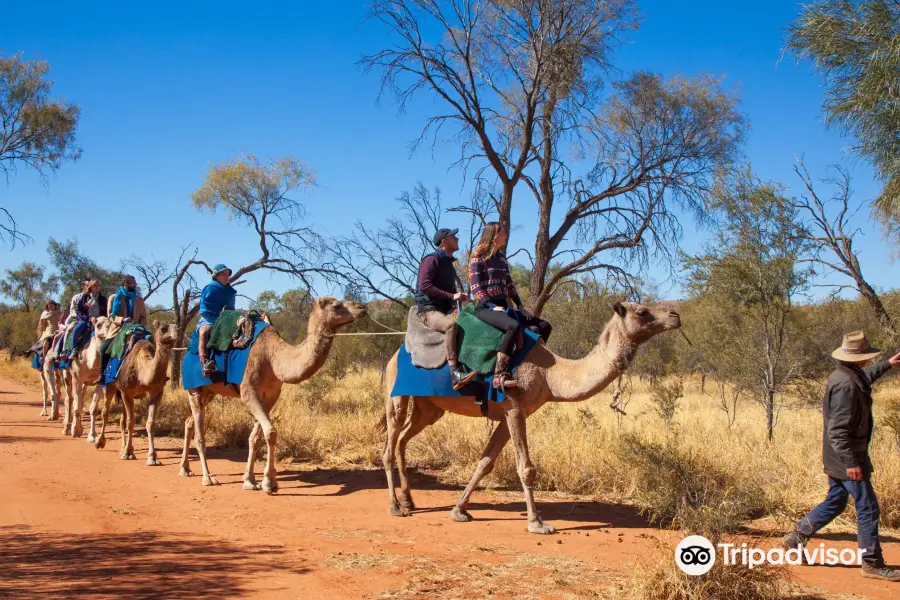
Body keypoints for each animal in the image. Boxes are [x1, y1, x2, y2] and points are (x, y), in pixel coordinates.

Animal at [90, 318, 178, 464]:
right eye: (163, 328)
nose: (176, 332)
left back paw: (122, 448)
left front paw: (152, 457)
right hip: (110, 386)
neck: (141, 370)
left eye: (177, 327)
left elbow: (150, 423)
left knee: (122, 420)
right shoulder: (127, 392)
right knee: (105, 412)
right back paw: (100, 442)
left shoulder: (157, 392)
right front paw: (128, 453)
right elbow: (131, 422)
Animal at [178, 298, 368, 492]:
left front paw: (250, 480)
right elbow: (271, 432)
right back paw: (208, 478)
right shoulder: (248, 390)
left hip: (209, 392)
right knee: (200, 435)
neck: (273, 358)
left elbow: (255, 437)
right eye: (336, 305)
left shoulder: (271, 394)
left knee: (189, 421)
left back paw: (185, 469)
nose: (362, 307)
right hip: (194, 389)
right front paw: (269, 482)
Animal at [380, 300, 684, 536]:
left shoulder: (509, 414)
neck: (550, 374)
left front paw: (458, 510)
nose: (675, 315)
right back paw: (395, 506)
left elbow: (485, 462)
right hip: (396, 393)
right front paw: (538, 523)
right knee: (389, 444)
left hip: (429, 407)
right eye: (641, 312)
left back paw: (409, 501)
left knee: (403, 439)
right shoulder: (515, 407)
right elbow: (526, 468)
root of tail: (396, 352)